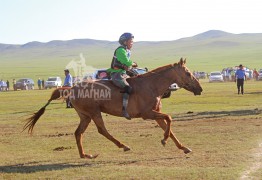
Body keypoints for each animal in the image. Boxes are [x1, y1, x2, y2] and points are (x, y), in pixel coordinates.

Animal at [23, 58, 203, 159]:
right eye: (188, 73)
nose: (200, 89)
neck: (151, 85)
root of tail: (72, 88)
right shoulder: (148, 114)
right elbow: (169, 119)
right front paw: (164, 140)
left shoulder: (156, 114)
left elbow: (169, 128)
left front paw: (183, 147)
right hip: (94, 113)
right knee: (102, 130)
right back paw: (123, 145)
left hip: (85, 116)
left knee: (78, 133)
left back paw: (85, 155)